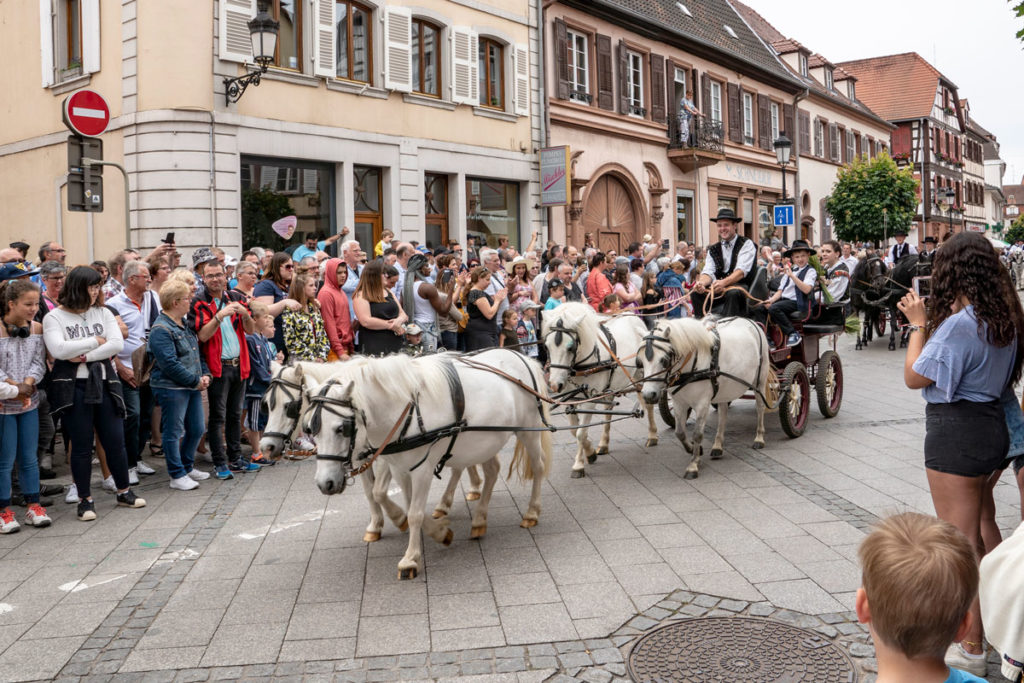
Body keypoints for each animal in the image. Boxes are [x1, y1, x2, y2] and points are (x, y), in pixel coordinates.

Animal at [307, 352, 557, 581]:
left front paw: (410, 559)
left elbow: (415, 513)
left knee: (538, 465)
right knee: (492, 471)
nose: (325, 483)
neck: (406, 410)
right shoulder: (399, 468)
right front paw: (439, 532)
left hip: (528, 430)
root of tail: (523, 357)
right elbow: (403, 505)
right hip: (485, 441)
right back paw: (478, 519)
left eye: (341, 428)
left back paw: (532, 512)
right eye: (310, 430)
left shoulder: (422, 470)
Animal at [540, 301, 659, 479]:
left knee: (648, 403)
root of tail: (633, 315)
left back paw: (652, 436)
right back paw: (603, 444)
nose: (554, 385)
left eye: (570, 347)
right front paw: (590, 452)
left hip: (642, 375)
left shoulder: (588, 401)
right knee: (608, 409)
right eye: (546, 346)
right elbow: (574, 431)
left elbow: (581, 433)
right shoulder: (571, 399)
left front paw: (578, 465)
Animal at [630, 317, 770, 479]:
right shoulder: (679, 403)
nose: (648, 395)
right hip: (724, 389)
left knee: (760, 407)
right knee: (723, 413)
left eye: (664, 360)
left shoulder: (702, 404)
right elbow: (679, 432)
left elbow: (697, 434)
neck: (691, 367)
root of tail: (749, 321)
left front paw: (693, 465)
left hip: (760, 381)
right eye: (640, 362)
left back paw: (759, 438)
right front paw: (694, 450)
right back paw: (717, 446)